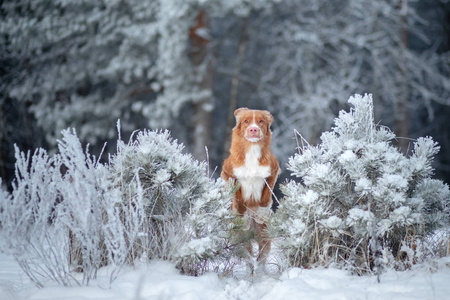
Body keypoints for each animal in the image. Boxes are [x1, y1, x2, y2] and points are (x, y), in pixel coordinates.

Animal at [221, 107, 280, 270]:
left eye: (261, 121)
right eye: (246, 121)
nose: (253, 129)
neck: (252, 151)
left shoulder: (273, 171)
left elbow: (266, 195)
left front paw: (260, 213)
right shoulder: (228, 173)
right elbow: (238, 197)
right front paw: (243, 217)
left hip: (264, 233)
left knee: (262, 255)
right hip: (240, 237)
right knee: (247, 255)